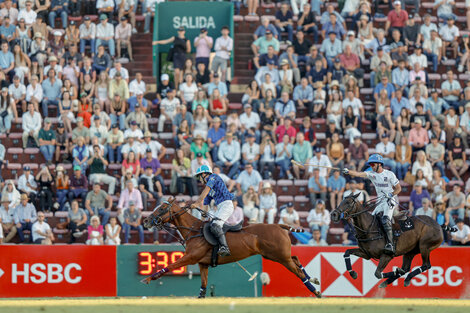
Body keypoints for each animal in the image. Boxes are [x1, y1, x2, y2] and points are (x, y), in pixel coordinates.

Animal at [141, 197, 322, 298]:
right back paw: (314, 279)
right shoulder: (203, 264)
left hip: (279, 256)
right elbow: (203, 288)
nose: (146, 221)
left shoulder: (190, 257)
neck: (194, 230)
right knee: (296, 259)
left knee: (297, 271)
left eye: (162, 208)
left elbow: (171, 265)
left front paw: (148, 278)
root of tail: (279, 226)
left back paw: (316, 291)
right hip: (276, 255)